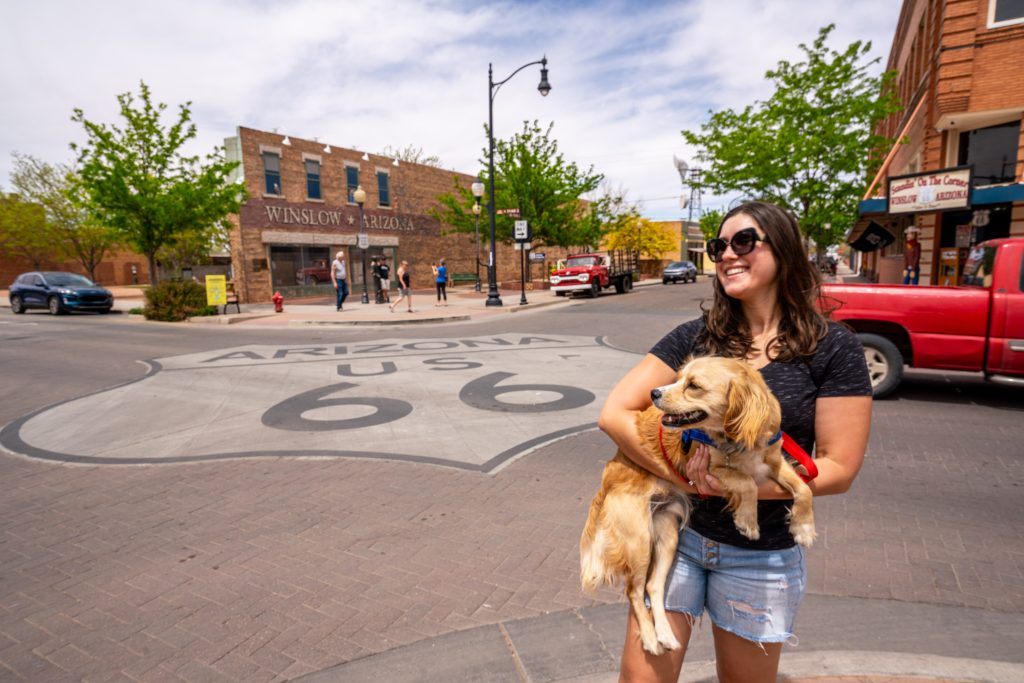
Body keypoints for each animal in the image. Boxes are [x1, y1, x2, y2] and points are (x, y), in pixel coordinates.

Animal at [585, 356, 815, 655]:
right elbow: (747, 483)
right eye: (678, 378)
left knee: (653, 586)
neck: (735, 437)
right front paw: (748, 521)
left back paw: (665, 635)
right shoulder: (712, 469)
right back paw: (650, 638)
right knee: (634, 590)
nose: (654, 392)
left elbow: (804, 488)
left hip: (668, 536)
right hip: (639, 539)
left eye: (693, 386)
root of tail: (608, 476)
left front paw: (804, 527)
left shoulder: (773, 462)